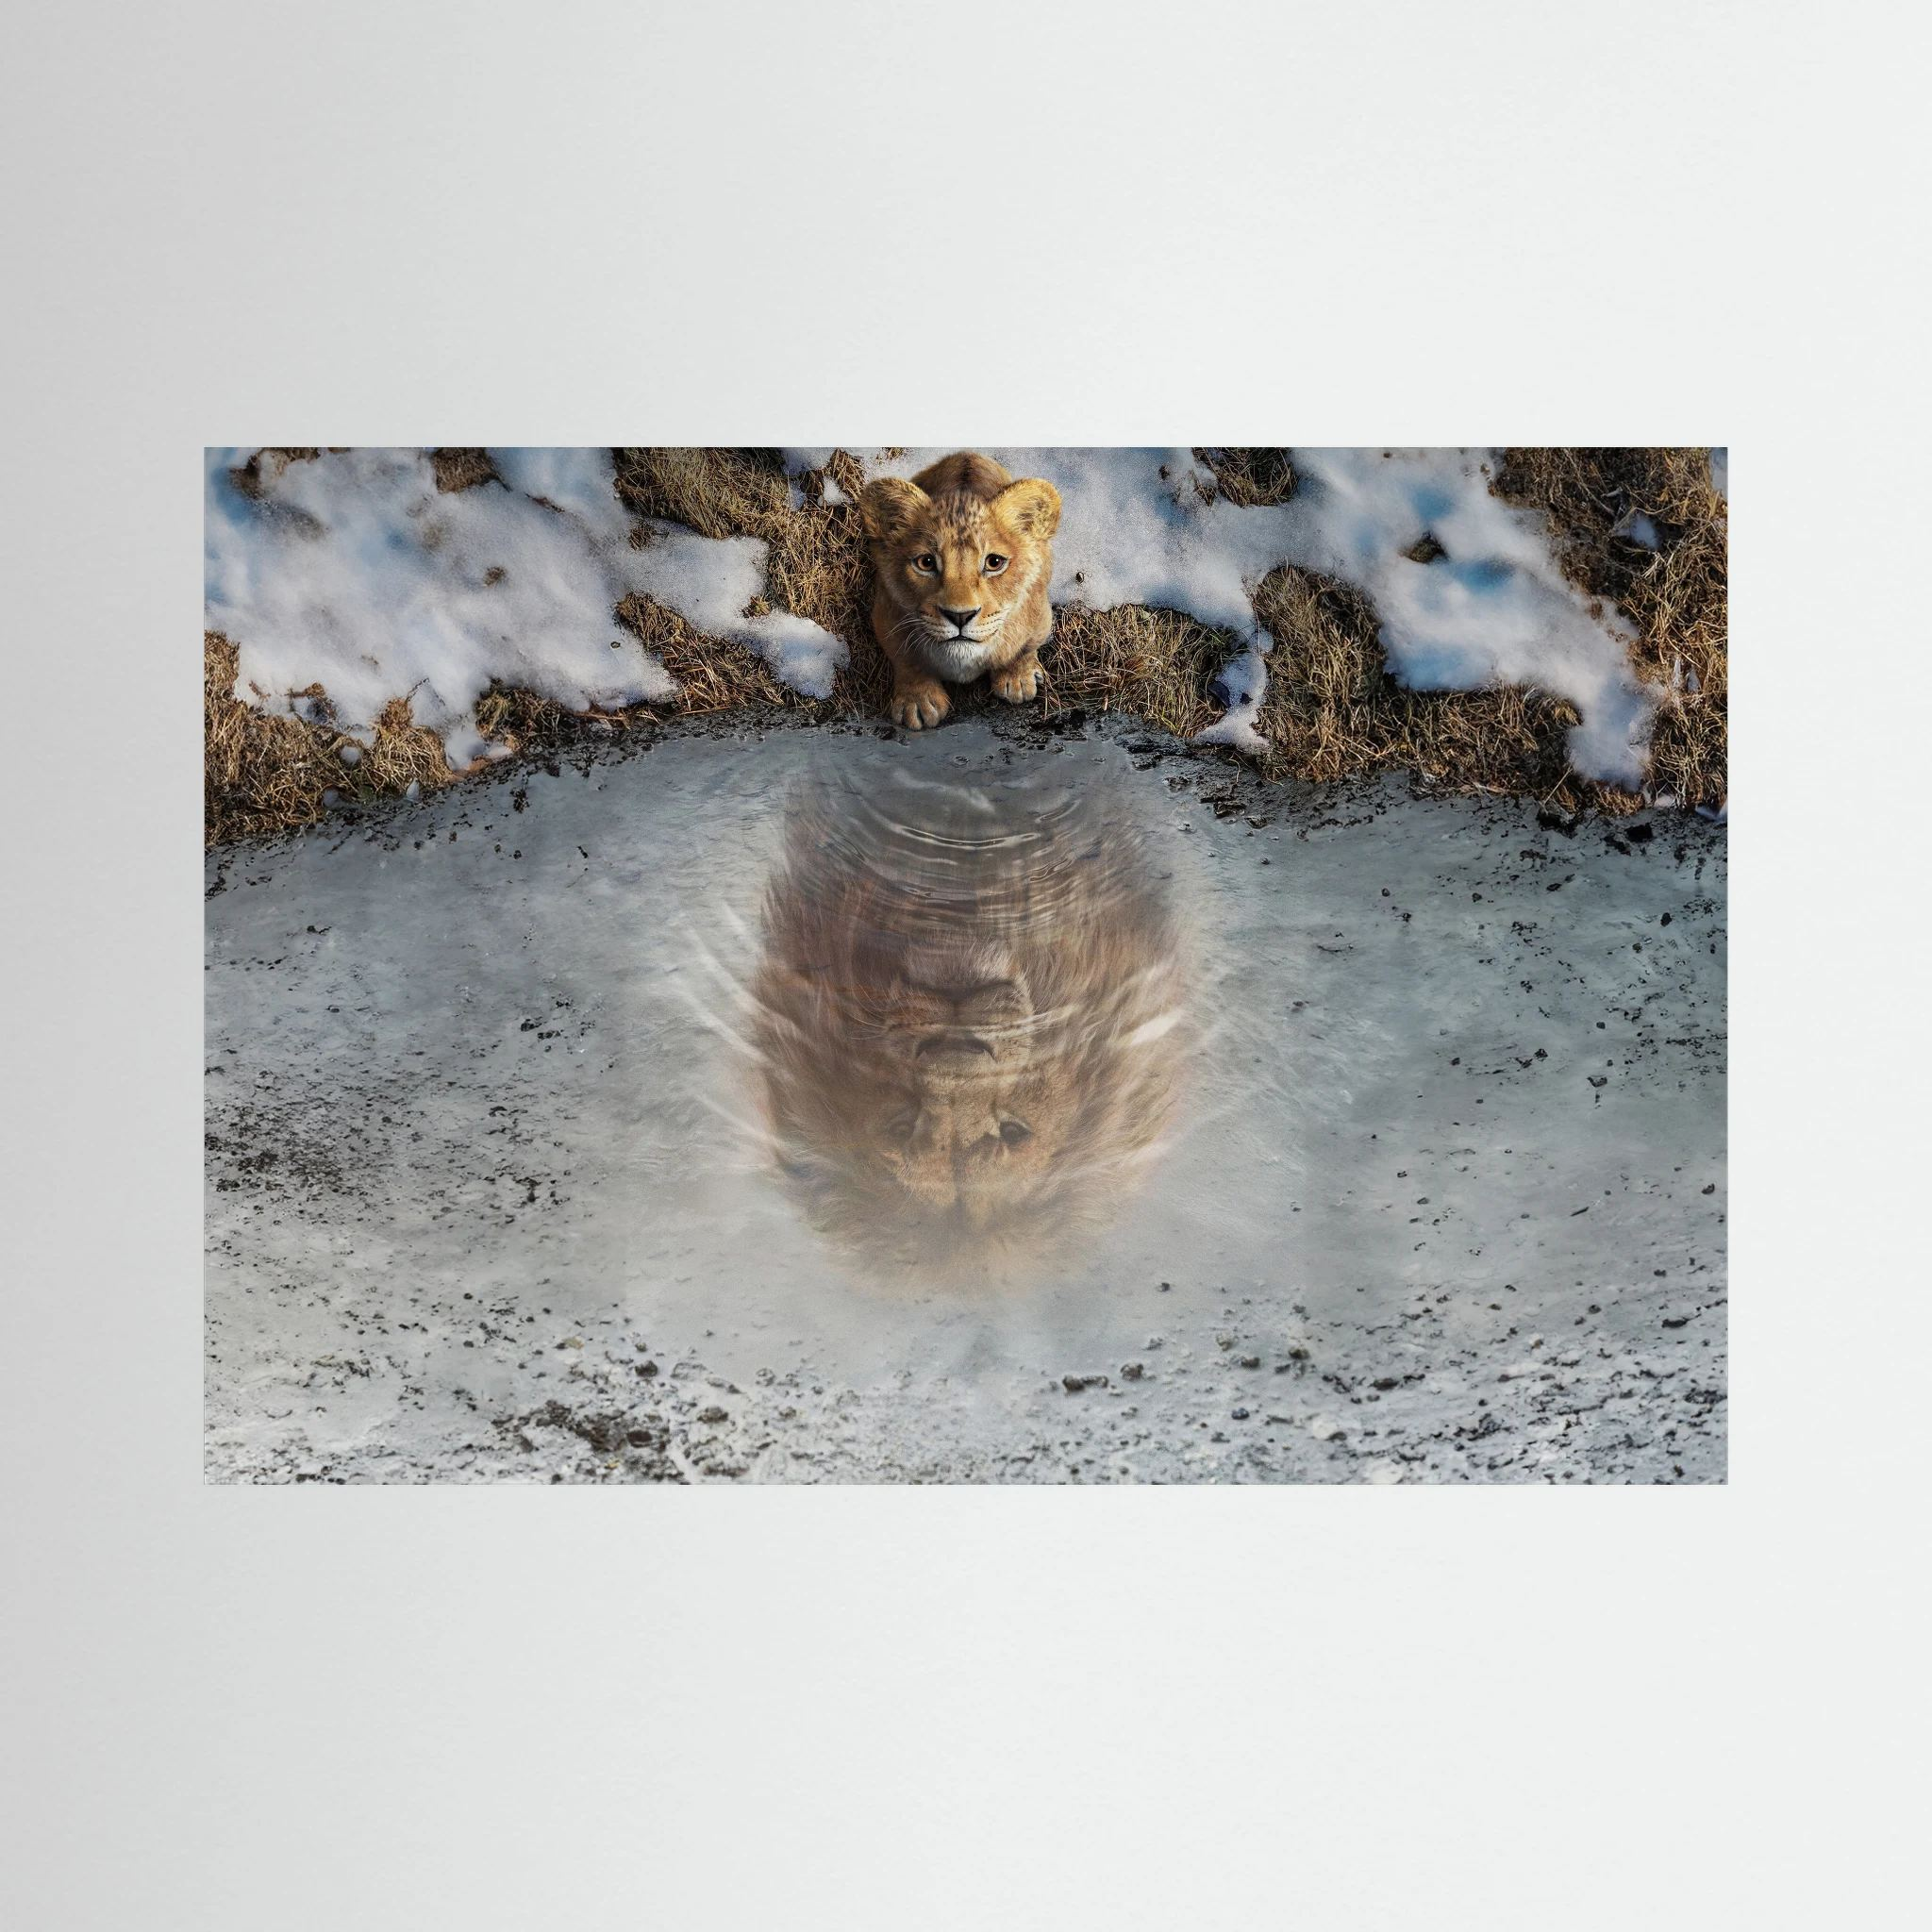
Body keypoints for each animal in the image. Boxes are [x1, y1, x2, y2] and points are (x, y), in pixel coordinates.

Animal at [858, 451, 1062, 731]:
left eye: (994, 562)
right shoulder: (885, 614)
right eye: (926, 563)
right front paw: (918, 702)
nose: (960, 616)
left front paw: (1018, 680)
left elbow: (1023, 649)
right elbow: (907, 660)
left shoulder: (1040, 615)